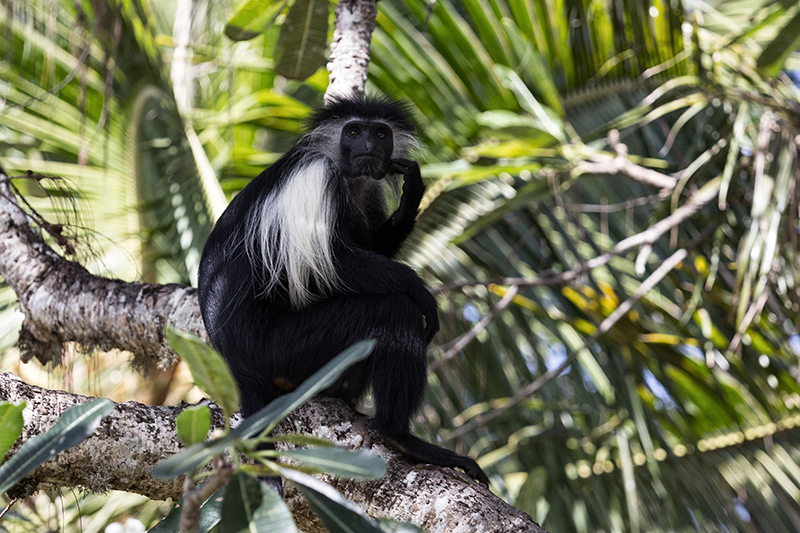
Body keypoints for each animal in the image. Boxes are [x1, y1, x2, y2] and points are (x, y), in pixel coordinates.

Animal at [198, 93, 488, 484]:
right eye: (353, 132)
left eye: (380, 133)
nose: (367, 146)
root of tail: (235, 363)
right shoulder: (315, 178)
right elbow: (334, 264)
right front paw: (422, 294)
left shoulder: (369, 191)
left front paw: (412, 194)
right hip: (282, 348)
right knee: (393, 311)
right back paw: (400, 436)